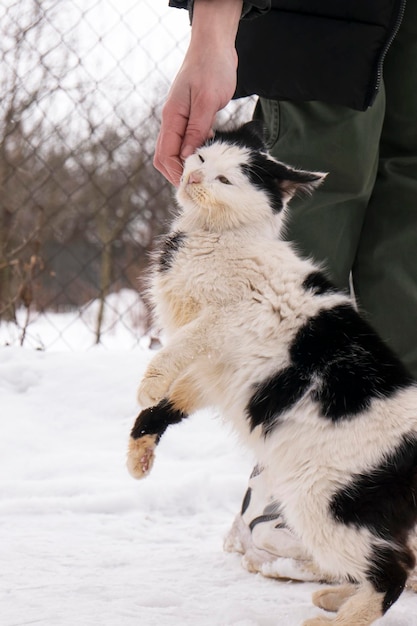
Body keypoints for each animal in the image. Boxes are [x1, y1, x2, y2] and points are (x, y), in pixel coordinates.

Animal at [126, 122, 416, 624]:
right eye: (202, 159)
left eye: (226, 180)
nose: (194, 178)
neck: (210, 239)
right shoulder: (211, 373)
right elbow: (167, 406)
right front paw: (139, 454)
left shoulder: (224, 322)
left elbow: (175, 351)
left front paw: (148, 383)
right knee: (399, 558)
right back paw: (337, 597)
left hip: (324, 504)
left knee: (395, 568)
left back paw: (337, 617)